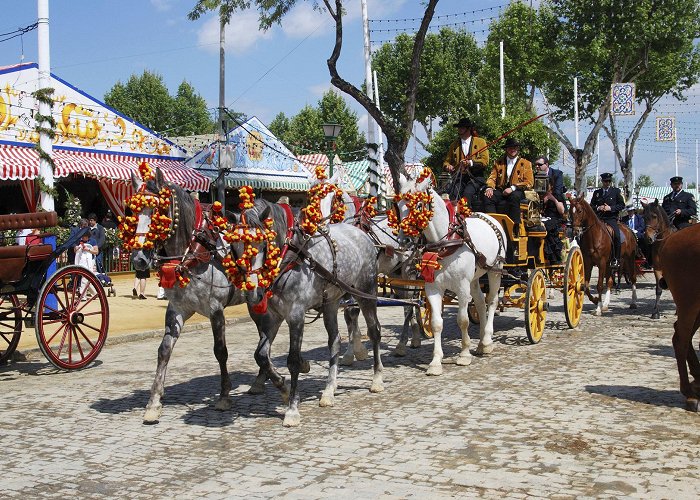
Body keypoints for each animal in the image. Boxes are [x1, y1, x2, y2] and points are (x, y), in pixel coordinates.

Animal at [130, 168, 288, 422]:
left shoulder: (215, 310)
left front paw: (224, 395)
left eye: (158, 212)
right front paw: (154, 402)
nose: (139, 259)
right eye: (133, 211)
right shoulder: (177, 308)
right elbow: (164, 350)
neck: (196, 252)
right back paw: (260, 379)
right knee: (264, 334)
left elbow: (220, 352)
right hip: (255, 301)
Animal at [239, 182, 382, 424]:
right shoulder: (273, 317)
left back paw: (377, 379)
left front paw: (292, 409)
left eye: (263, 242)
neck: (291, 257)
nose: (253, 293)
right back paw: (329, 390)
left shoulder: (295, 315)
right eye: (236, 245)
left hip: (365, 292)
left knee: (374, 331)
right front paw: (284, 388)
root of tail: (361, 234)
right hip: (331, 303)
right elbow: (261, 356)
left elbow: (293, 360)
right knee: (334, 341)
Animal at [396, 172, 506, 376]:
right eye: (397, 206)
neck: (445, 243)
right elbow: (436, 323)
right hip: (475, 277)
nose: (404, 240)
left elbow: (462, 320)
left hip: (495, 270)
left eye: (418, 205)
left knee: (492, 301)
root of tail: (491, 218)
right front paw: (435, 362)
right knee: (480, 301)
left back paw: (487, 340)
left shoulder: (462, 287)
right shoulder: (432, 287)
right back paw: (480, 343)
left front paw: (464, 354)